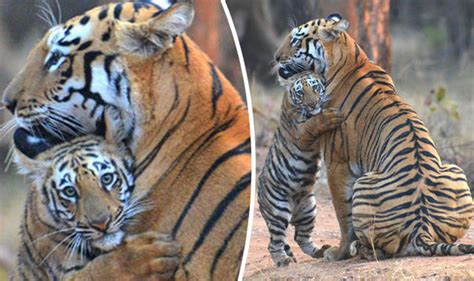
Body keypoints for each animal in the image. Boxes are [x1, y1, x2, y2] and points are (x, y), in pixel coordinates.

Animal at [258, 70, 342, 264]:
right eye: (301, 93)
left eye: (315, 87)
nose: (313, 104)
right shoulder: (301, 133)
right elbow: (315, 122)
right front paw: (330, 116)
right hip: (278, 211)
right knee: (274, 243)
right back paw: (283, 260)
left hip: (308, 209)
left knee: (301, 238)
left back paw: (320, 251)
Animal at [272, 13, 474, 260]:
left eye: (295, 40)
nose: (276, 57)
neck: (351, 57)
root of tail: (421, 228)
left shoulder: (337, 162)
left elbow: (343, 215)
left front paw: (338, 253)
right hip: (456, 171)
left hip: (364, 182)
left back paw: (358, 250)